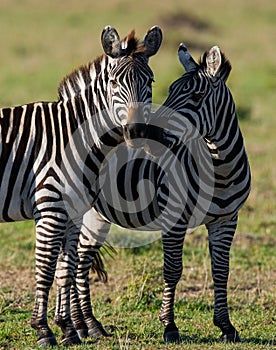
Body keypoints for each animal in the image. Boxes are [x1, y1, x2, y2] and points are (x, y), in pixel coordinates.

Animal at [0, 25, 163, 348]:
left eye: (150, 82)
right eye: (114, 82)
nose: (137, 131)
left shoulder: (73, 213)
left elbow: (67, 266)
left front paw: (68, 328)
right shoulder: (51, 209)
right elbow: (46, 268)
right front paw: (43, 329)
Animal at [64, 42, 250, 344]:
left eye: (197, 96)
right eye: (170, 90)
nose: (150, 135)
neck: (221, 169)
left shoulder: (226, 220)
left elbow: (221, 271)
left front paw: (226, 326)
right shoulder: (174, 219)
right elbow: (172, 270)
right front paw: (169, 326)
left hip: (96, 215)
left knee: (81, 259)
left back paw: (89, 325)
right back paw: (78, 325)